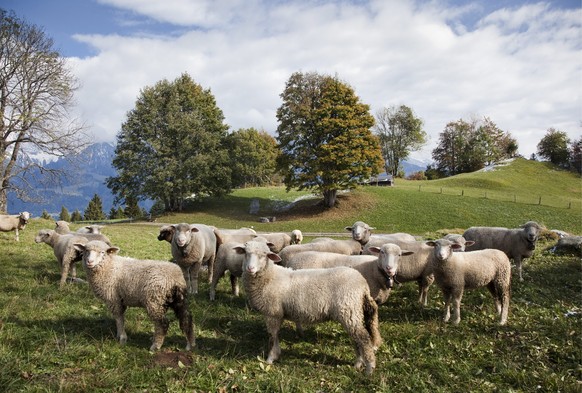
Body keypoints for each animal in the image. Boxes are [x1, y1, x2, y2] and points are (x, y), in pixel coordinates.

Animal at [237, 239, 384, 374]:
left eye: (264, 255)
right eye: (245, 253)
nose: (250, 269)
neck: (270, 277)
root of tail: (363, 284)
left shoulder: (272, 312)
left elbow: (272, 336)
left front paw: (270, 359)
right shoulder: (277, 314)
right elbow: (276, 335)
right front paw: (277, 354)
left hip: (349, 310)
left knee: (363, 338)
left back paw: (369, 367)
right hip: (350, 314)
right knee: (356, 339)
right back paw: (358, 363)